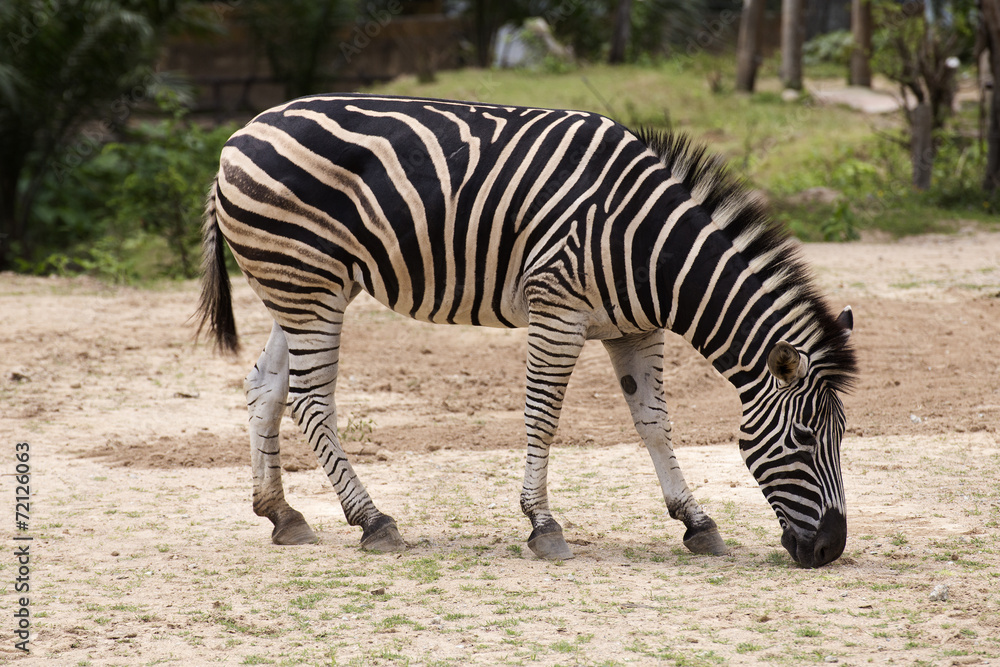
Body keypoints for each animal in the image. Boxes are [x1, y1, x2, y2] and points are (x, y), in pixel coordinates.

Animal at [197, 92, 860, 568]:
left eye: (841, 436)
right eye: (805, 438)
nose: (830, 550)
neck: (649, 248)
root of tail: (239, 136)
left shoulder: (634, 330)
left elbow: (653, 423)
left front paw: (696, 522)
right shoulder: (557, 310)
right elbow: (543, 418)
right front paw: (543, 526)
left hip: (303, 288)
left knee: (266, 387)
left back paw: (282, 514)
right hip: (308, 283)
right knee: (311, 399)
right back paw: (373, 521)